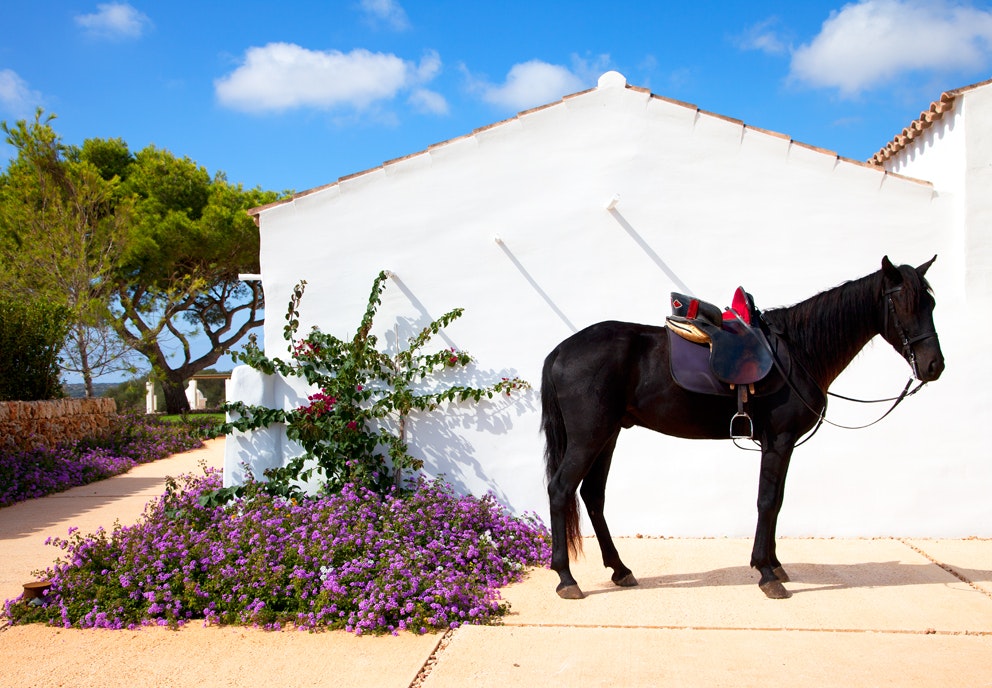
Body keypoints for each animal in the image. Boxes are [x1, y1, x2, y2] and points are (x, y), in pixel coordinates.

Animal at [541, 256, 944, 600]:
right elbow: (767, 501)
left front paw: (776, 566)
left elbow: (777, 502)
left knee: (593, 496)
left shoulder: (782, 445)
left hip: (608, 435)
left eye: (931, 304)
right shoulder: (778, 441)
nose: (934, 365)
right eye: (902, 303)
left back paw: (621, 570)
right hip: (589, 437)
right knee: (561, 490)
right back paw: (566, 578)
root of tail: (562, 350)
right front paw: (766, 573)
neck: (799, 351)